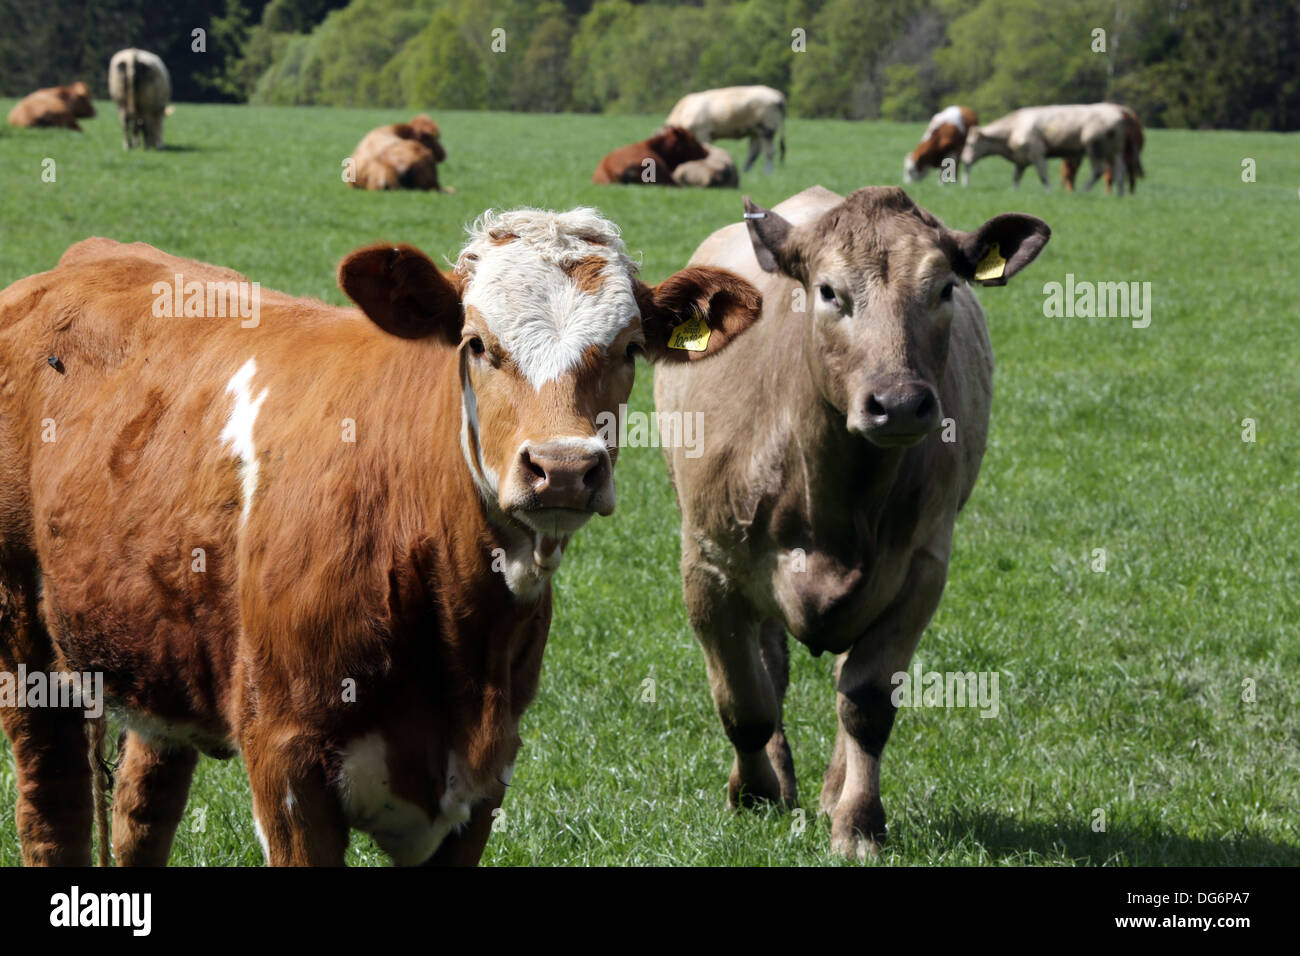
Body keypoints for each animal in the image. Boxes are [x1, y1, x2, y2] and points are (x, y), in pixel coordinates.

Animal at [0, 209, 759, 868]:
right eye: (477, 344)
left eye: (630, 349)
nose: (565, 468)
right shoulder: (286, 763)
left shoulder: (483, 781)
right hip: (27, 651)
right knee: (52, 810)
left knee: (142, 810)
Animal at [655, 187, 1050, 858]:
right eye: (828, 291)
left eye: (945, 289)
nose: (899, 403)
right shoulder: (707, 565)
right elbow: (744, 701)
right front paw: (754, 794)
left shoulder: (920, 570)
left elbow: (866, 703)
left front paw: (858, 823)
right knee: (770, 672)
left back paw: (831, 790)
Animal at [961, 104, 1133, 193]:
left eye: (970, 144)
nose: (964, 159)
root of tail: (1117, 113)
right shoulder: (1021, 159)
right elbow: (1016, 177)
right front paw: (1013, 191)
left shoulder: (1037, 153)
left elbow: (1043, 175)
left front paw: (1049, 191)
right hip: (1115, 151)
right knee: (1121, 171)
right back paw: (1119, 194)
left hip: (1094, 148)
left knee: (1098, 171)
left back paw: (1082, 191)